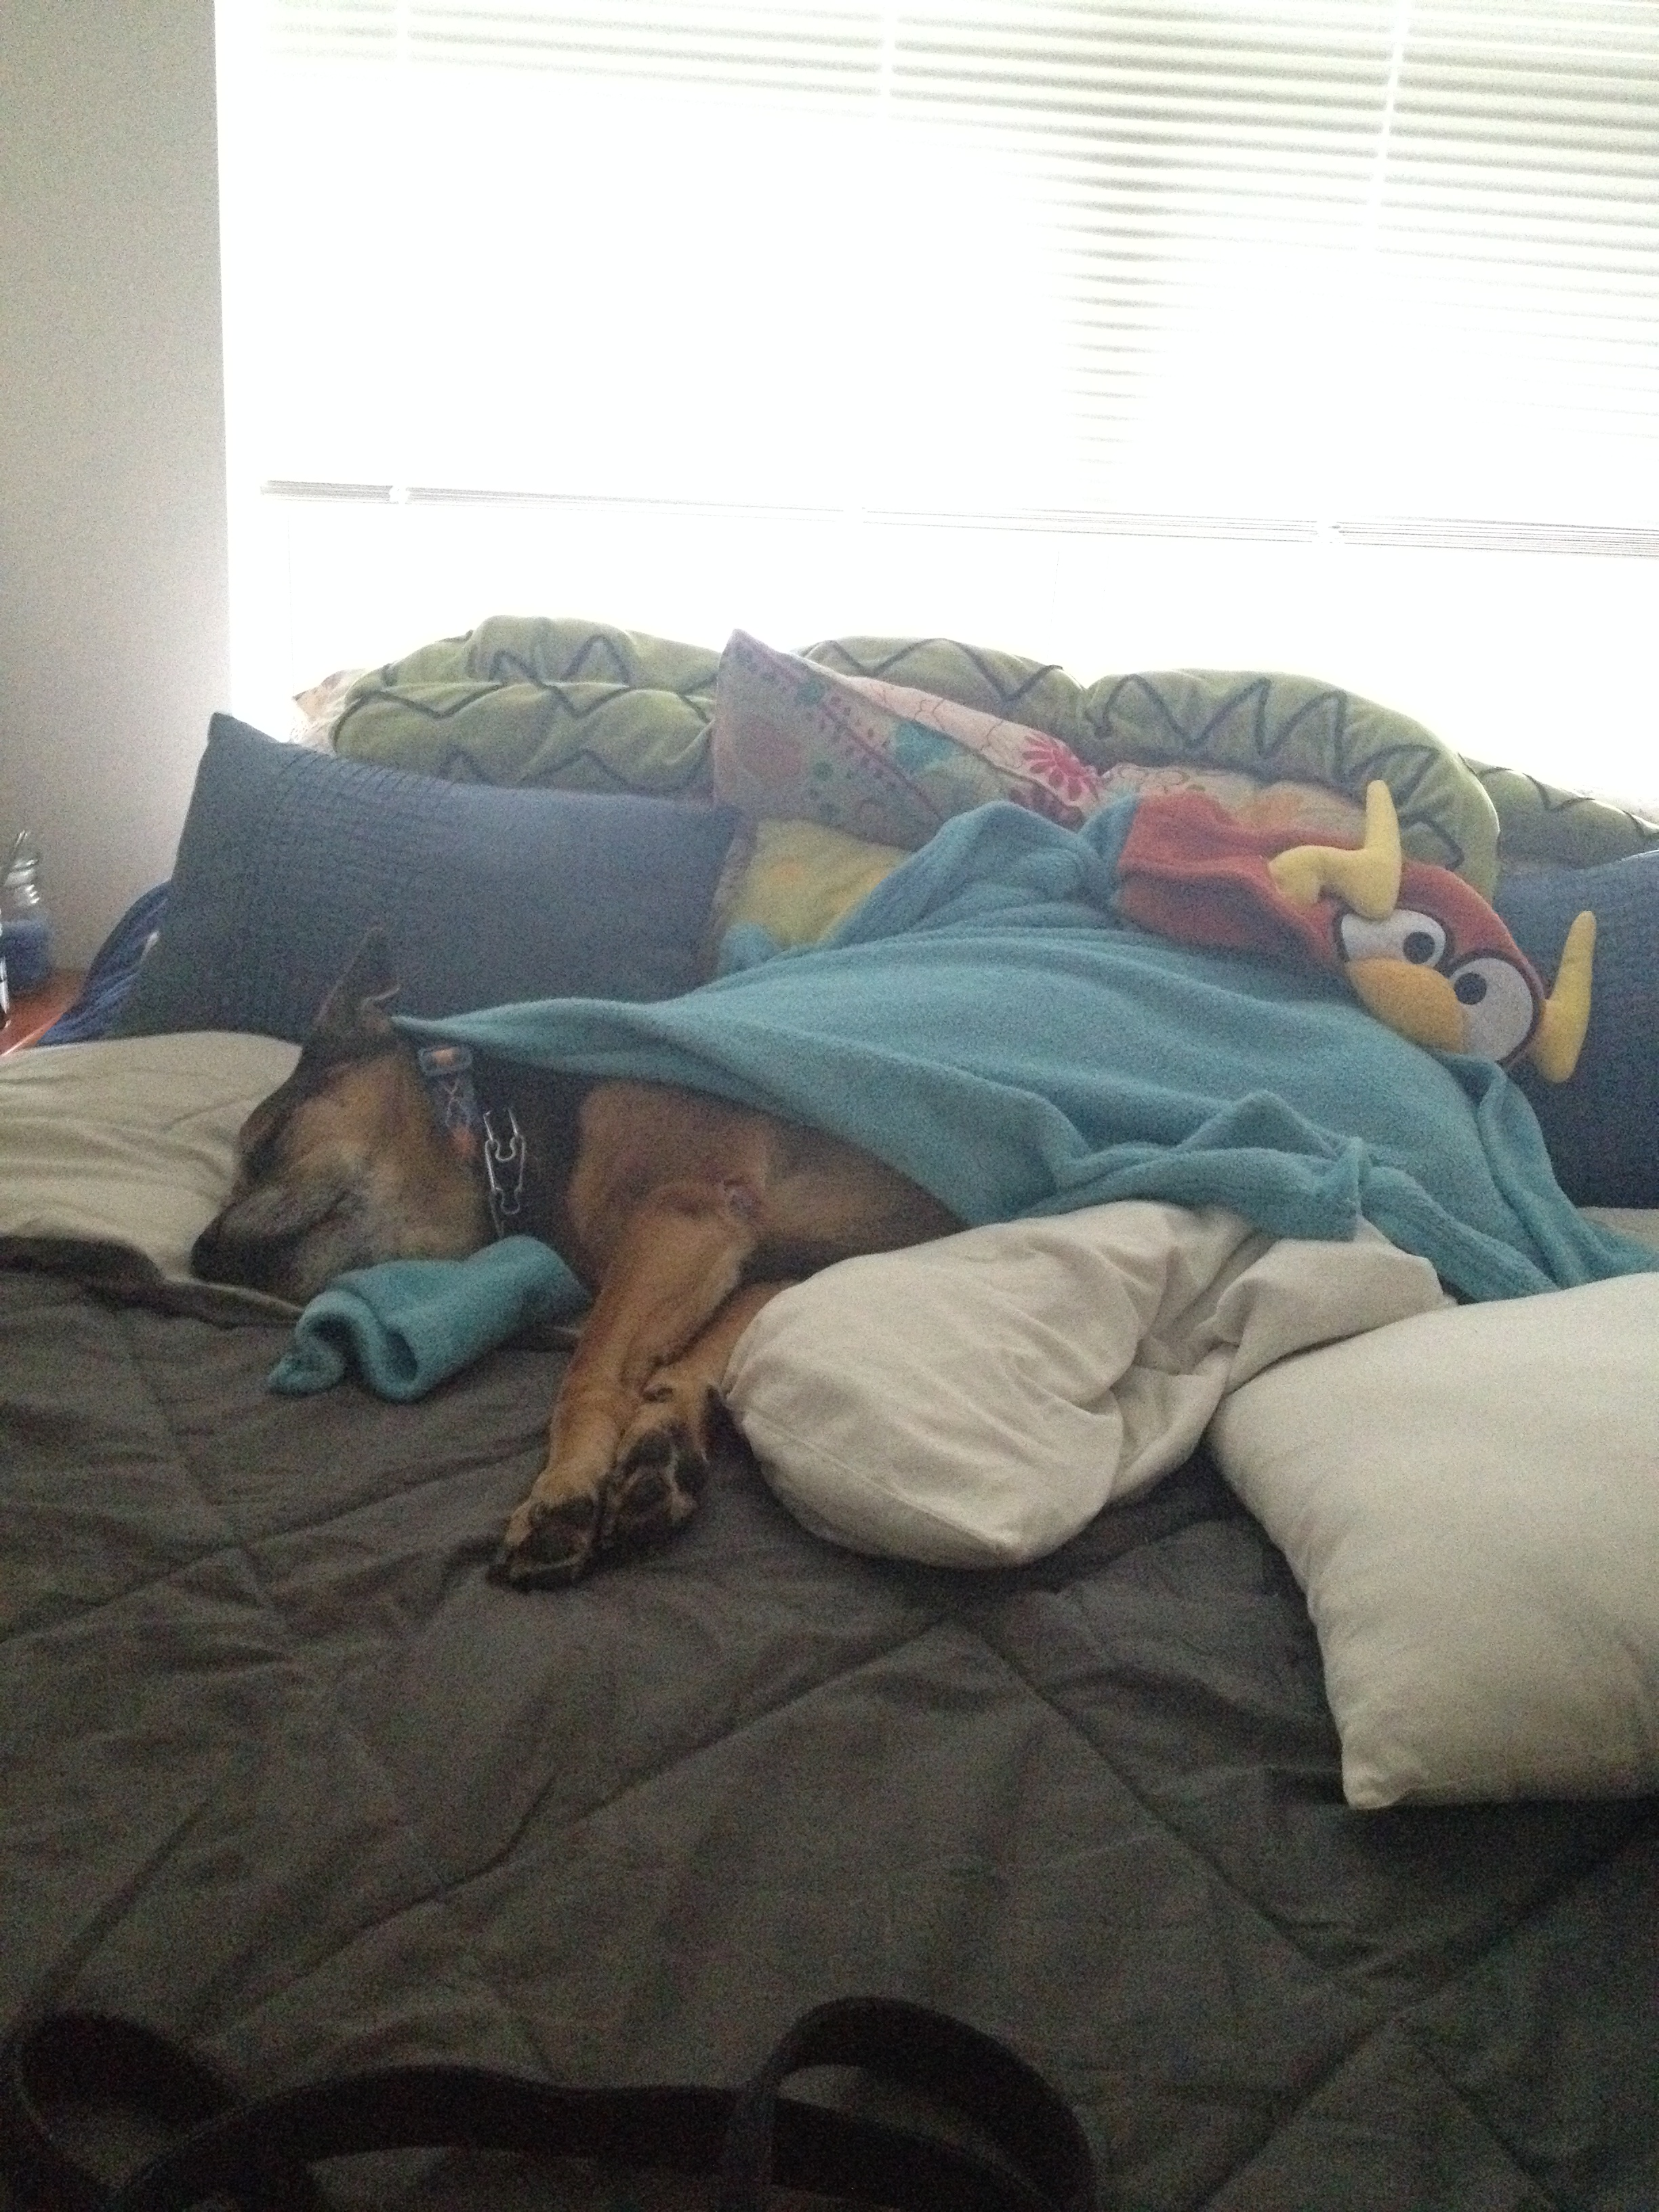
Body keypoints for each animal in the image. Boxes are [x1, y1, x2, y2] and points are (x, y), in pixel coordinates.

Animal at [191, 935, 958, 1587]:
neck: (508, 1139)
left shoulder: (686, 1211)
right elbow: (697, 1355)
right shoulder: (776, 1259)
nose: (200, 1256)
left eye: (268, 1142)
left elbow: (588, 1371)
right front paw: (663, 1441)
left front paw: (562, 1487)